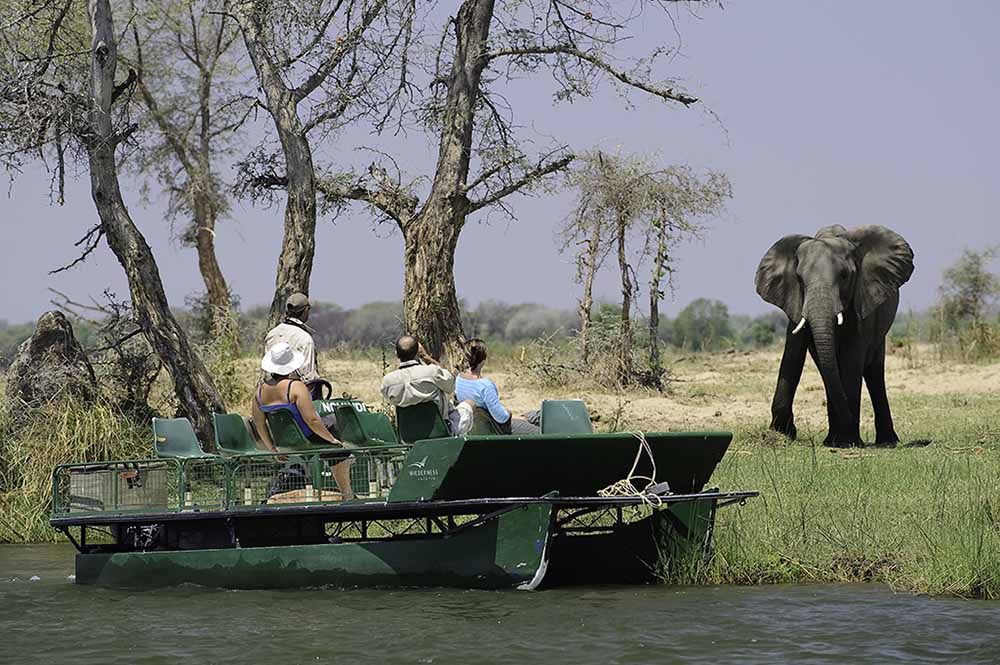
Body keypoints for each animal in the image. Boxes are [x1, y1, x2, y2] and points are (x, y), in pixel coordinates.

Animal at [756, 223, 916, 446]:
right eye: (799, 279)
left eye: (844, 276)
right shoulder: (795, 302)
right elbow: (793, 353)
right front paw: (783, 433)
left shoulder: (862, 300)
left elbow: (851, 358)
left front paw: (848, 441)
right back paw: (832, 440)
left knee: (873, 372)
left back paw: (885, 441)